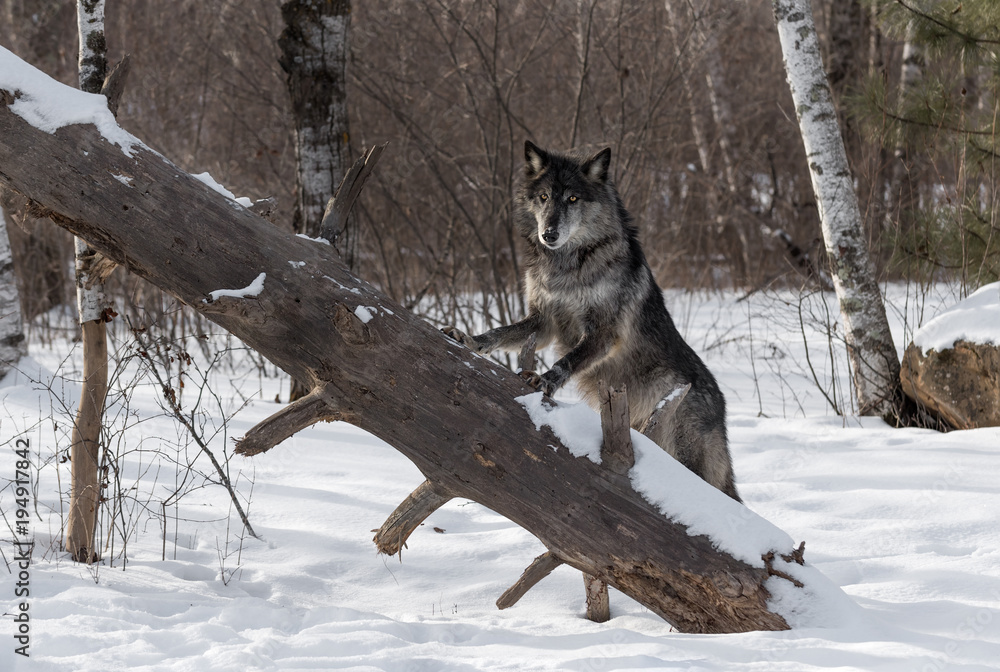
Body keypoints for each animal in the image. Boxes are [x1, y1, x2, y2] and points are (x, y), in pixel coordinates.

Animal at [445, 141, 740, 501]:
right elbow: (500, 333)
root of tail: (723, 411)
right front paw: (469, 339)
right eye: (544, 197)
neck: (567, 265)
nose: (549, 234)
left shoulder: (602, 332)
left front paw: (544, 381)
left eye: (573, 199)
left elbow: (567, 361)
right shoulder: (543, 323)